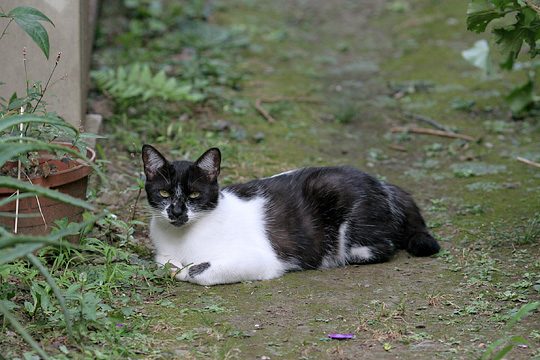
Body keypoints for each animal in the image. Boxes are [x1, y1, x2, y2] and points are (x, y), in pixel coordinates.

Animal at [142, 145, 438, 286]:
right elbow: (164, 263)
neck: (181, 239)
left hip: (335, 195)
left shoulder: (261, 258)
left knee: (382, 246)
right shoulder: (162, 254)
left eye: (193, 195)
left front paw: (185, 270)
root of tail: (384, 184)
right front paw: (174, 266)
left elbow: (197, 271)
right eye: (164, 193)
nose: (176, 211)